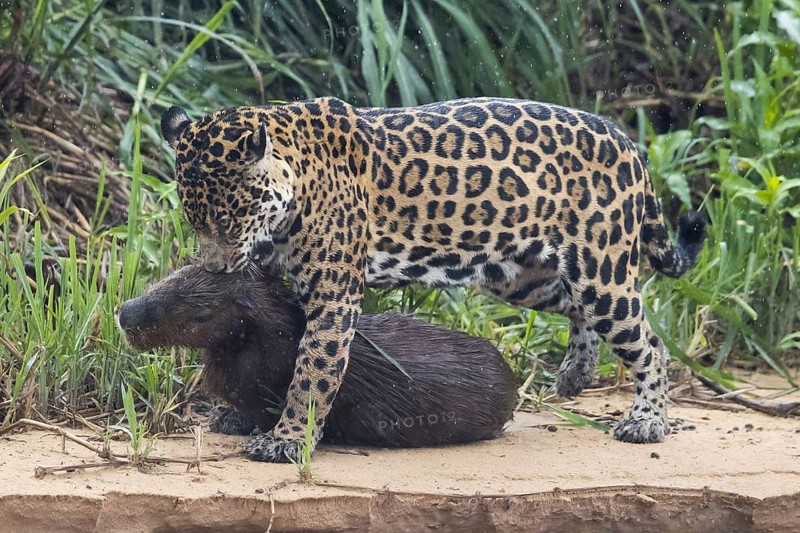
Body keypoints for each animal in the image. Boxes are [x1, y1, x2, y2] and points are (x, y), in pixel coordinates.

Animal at [160, 96, 706, 463]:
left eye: (228, 221)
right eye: (193, 221)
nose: (215, 268)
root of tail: (627, 142)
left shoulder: (334, 296)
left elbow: (313, 369)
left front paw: (288, 439)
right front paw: (242, 415)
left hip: (602, 270)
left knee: (649, 343)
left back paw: (647, 421)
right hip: (522, 276)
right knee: (576, 307)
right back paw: (577, 371)